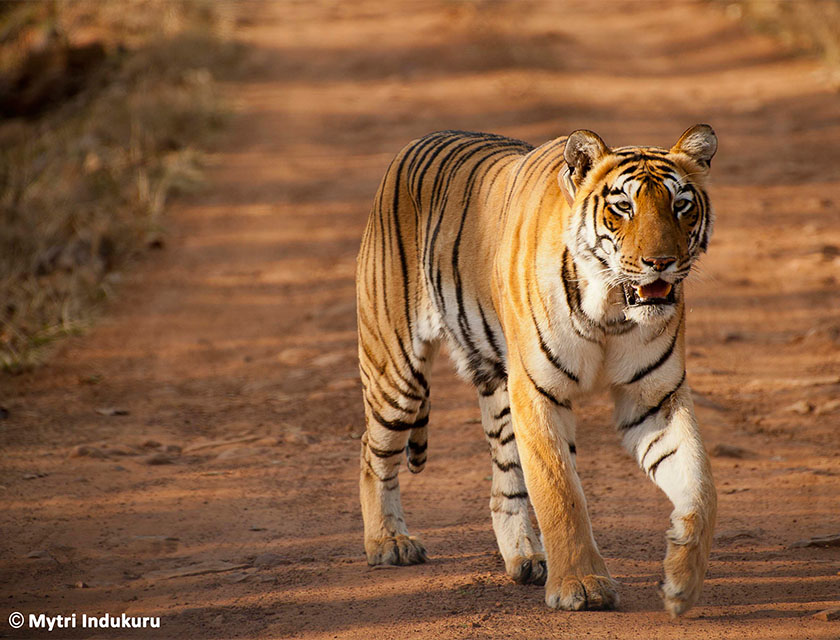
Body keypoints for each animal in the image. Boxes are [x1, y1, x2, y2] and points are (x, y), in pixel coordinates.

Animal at [355, 124, 718, 617]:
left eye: (681, 205)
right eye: (623, 206)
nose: (660, 263)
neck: (611, 310)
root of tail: (415, 144)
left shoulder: (654, 398)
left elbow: (700, 487)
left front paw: (682, 583)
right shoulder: (538, 391)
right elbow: (559, 490)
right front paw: (582, 586)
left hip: (497, 390)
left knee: (504, 486)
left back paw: (526, 558)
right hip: (396, 374)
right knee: (372, 453)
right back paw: (389, 543)